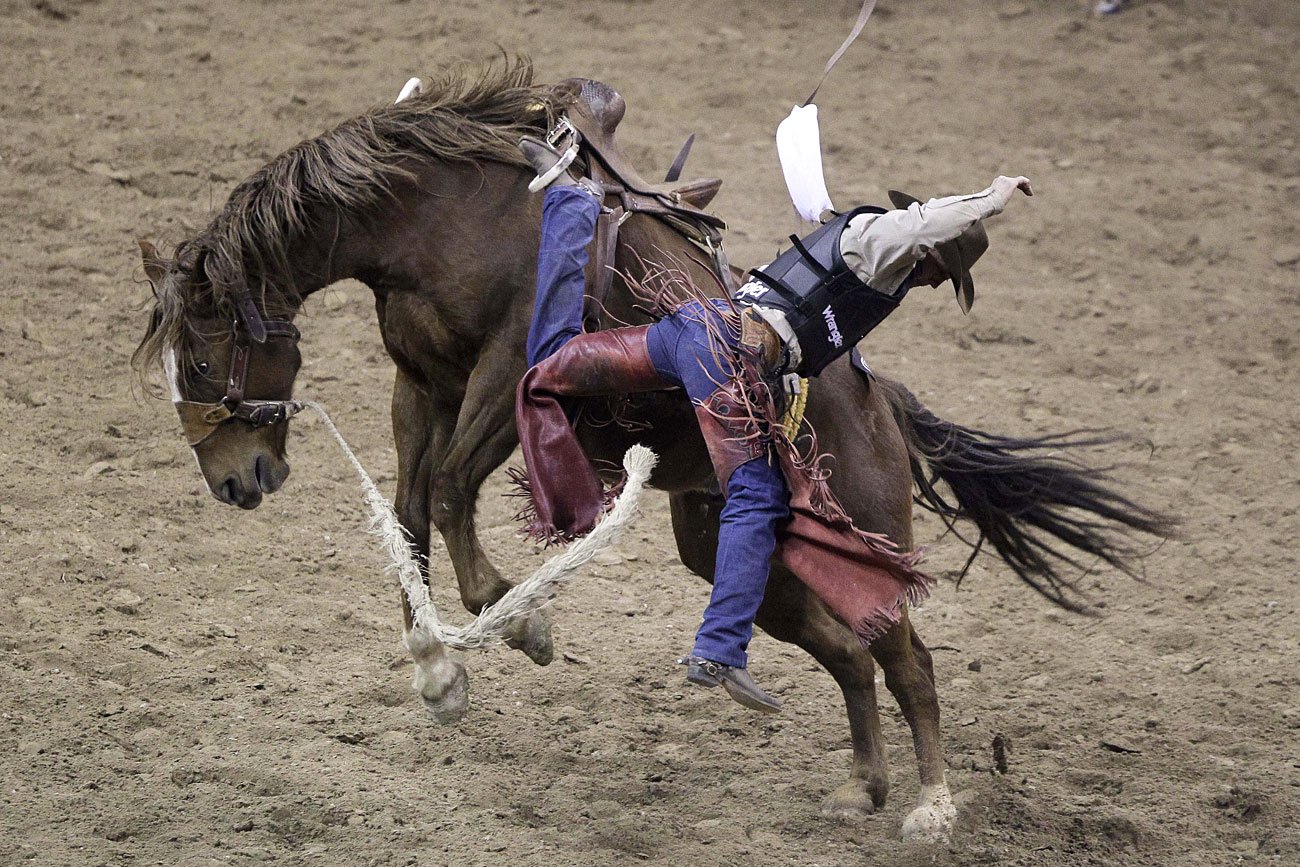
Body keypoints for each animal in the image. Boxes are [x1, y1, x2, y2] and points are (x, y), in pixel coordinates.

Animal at [132, 60, 1168, 842]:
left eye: (205, 354)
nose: (232, 481)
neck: (443, 215)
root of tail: (883, 403)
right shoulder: (420, 383)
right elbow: (412, 511)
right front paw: (436, 667)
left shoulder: (510, 365)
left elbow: (458, 490)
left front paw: (516, 619)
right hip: (733, 543)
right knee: (844, 651)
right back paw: (859, 784)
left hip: (867, 532)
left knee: (905, 658)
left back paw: (932, 806)